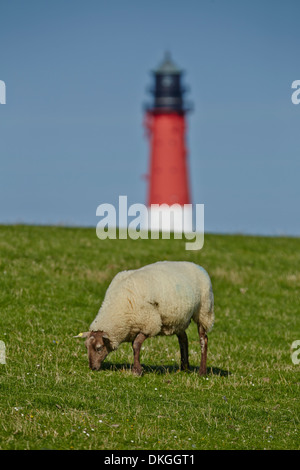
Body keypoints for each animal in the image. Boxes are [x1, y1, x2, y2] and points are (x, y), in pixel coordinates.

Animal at [76, 258, 214, 376]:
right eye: (86, 347)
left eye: (99, 348)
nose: (92, 368)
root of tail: (198, 266)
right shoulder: (135, 326)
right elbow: (134, 346)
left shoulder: (149, 323)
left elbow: (136, 345)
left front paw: (137, 371)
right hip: (178, 319)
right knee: (183, 339)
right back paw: (184, 367)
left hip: (204, 311)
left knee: (203, 339)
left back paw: (202, 372)